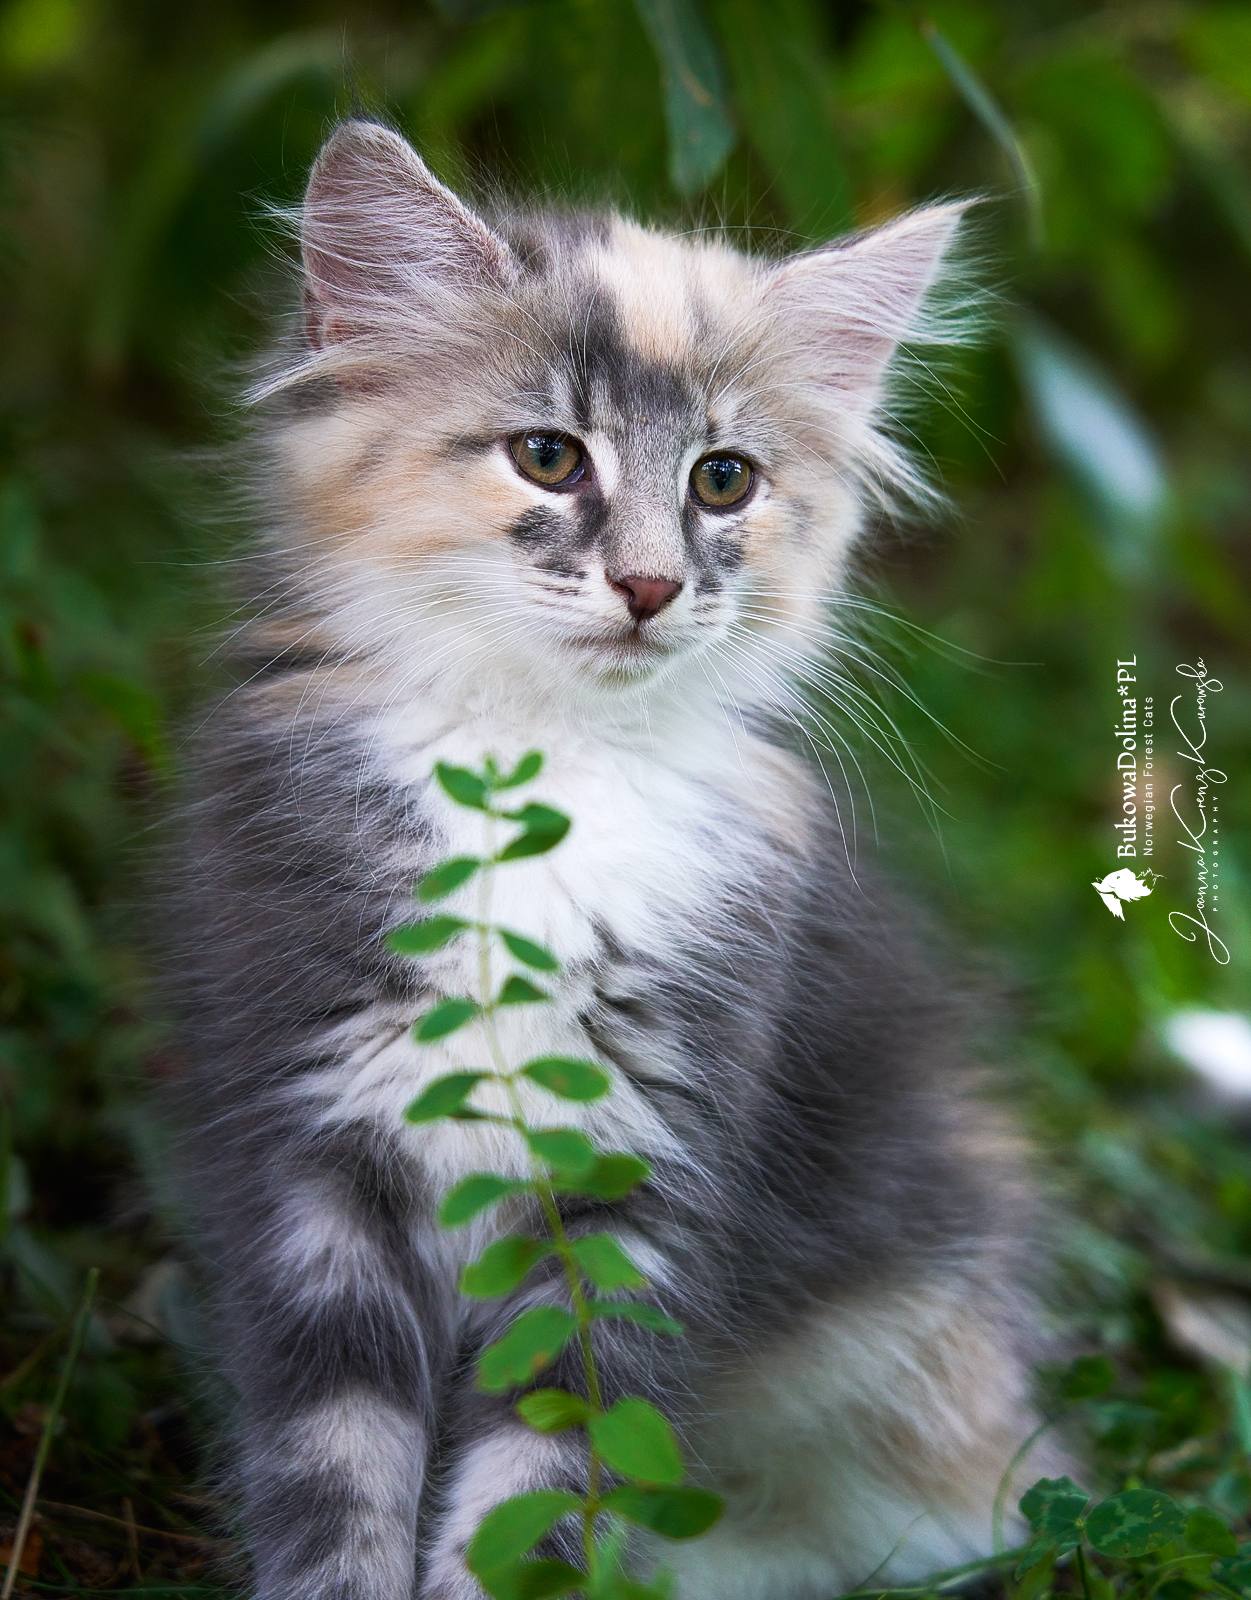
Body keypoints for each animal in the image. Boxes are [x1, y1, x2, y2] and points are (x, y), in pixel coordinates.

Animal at [170, 118, 1046, 1600]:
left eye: (722, 479)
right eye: (547, 456)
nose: (647, 586)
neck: (543, 768)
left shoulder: (639, 1180)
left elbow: (543, 1489)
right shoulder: (313, 1154)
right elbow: (336, 1478)